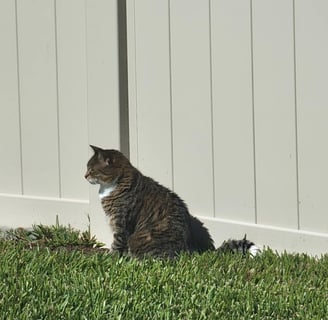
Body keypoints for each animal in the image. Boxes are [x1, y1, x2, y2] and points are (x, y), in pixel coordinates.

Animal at [85, 146, 262, 258]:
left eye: (91, 170)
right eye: (87, 168)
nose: (84, 175)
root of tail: (189, 251)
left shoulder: (121, 223)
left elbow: (117, 243)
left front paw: (111, 258)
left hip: (139, 238)